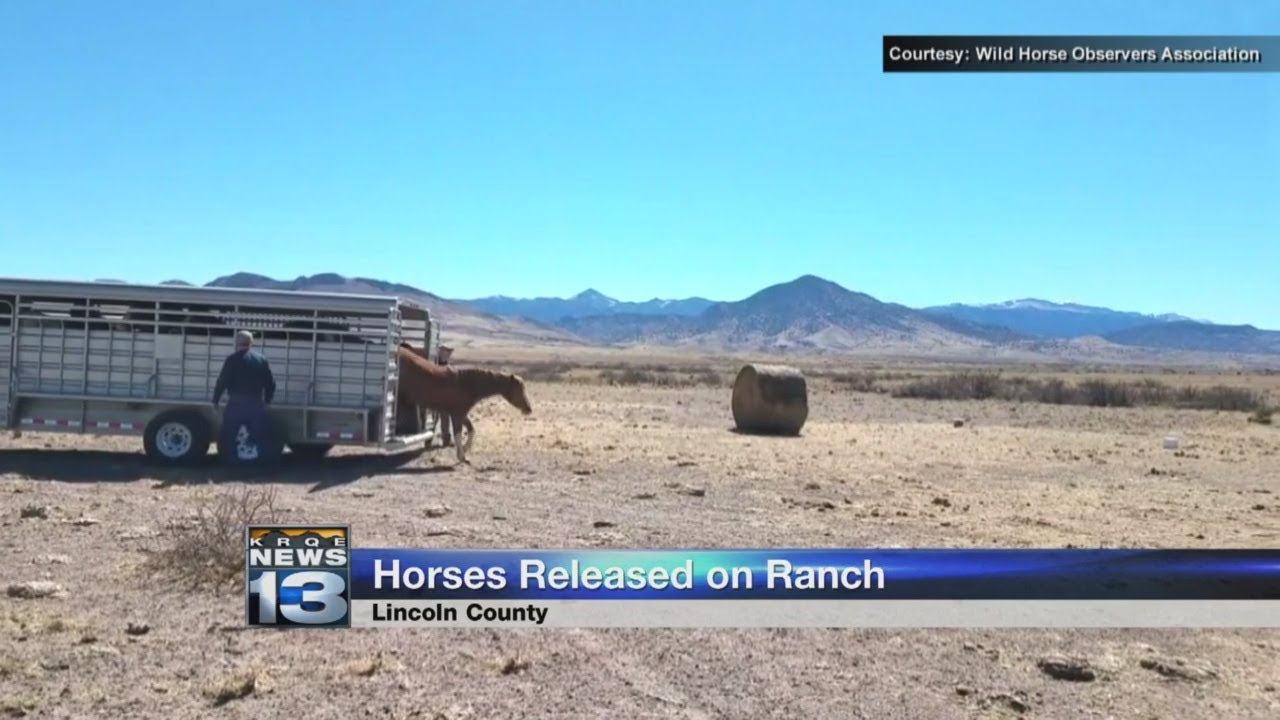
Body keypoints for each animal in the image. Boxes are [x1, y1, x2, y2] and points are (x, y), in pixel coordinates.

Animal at [395, 344, 532, 464]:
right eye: (519, 390)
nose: (529, 409)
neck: (466, 384)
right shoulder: (457, 414)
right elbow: (458, 433)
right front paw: (462, 456)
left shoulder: (461, 414)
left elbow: (471, 430)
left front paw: (465, 451)